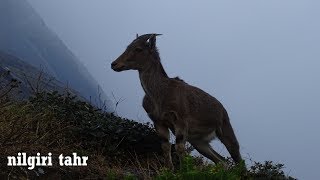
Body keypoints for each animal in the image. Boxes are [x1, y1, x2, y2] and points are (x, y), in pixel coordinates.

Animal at [111, 33, 241, 169]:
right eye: (128, 47)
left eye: (138, 49)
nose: (114, 64)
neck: (160, 93)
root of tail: (223, 109)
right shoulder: (158, 121)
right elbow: (165, 146)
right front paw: (169, 169)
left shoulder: (180, 121)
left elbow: (179, 147)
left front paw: (184, 170)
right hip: (198, 141)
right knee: (221, 160)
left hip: (226, 130)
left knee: (238, 159)